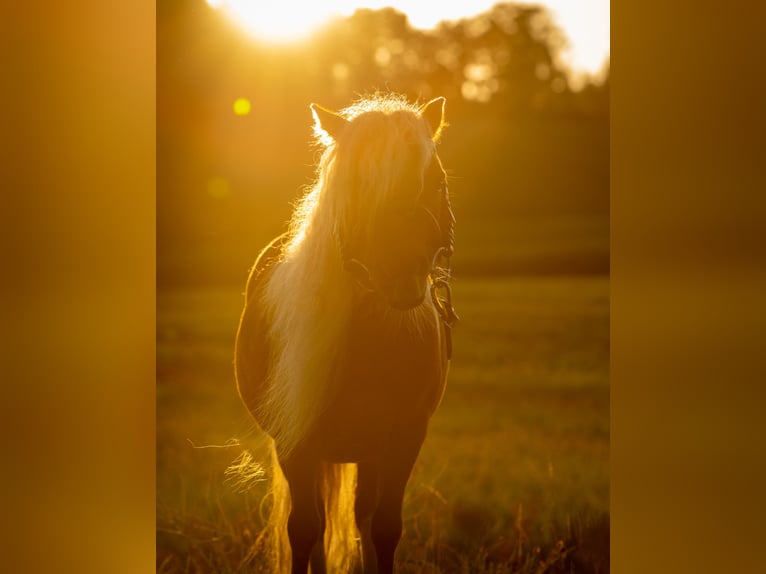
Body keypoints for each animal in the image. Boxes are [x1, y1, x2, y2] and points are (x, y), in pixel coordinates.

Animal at [234, 93, 457, 574]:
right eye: (358, 185)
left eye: (436, 181)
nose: (403, 275)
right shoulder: (295, 442)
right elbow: (304, 530)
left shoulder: (403, 438)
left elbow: (383, 528)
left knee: (360, 515)